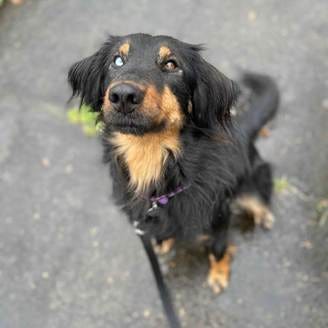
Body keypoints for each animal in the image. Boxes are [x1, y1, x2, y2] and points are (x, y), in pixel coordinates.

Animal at [68, 33, 278, 294]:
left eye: (171, 64)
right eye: (117, 60)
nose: (123, 96)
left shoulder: (220, 214)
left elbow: (218, 248)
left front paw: (218, 274)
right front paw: (162, 242)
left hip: (251, 180)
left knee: (258, 196)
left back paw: (264, 214)